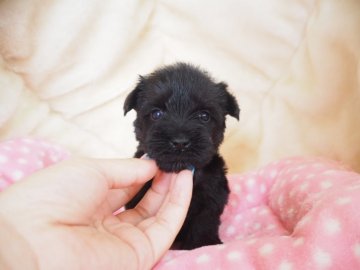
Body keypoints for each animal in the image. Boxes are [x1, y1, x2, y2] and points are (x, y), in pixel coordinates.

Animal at [123, 62, 239, 250]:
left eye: (204, 116)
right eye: (156, 114)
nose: (180, 142)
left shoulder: (211, 197)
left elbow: (204, 222)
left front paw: (203, 244)